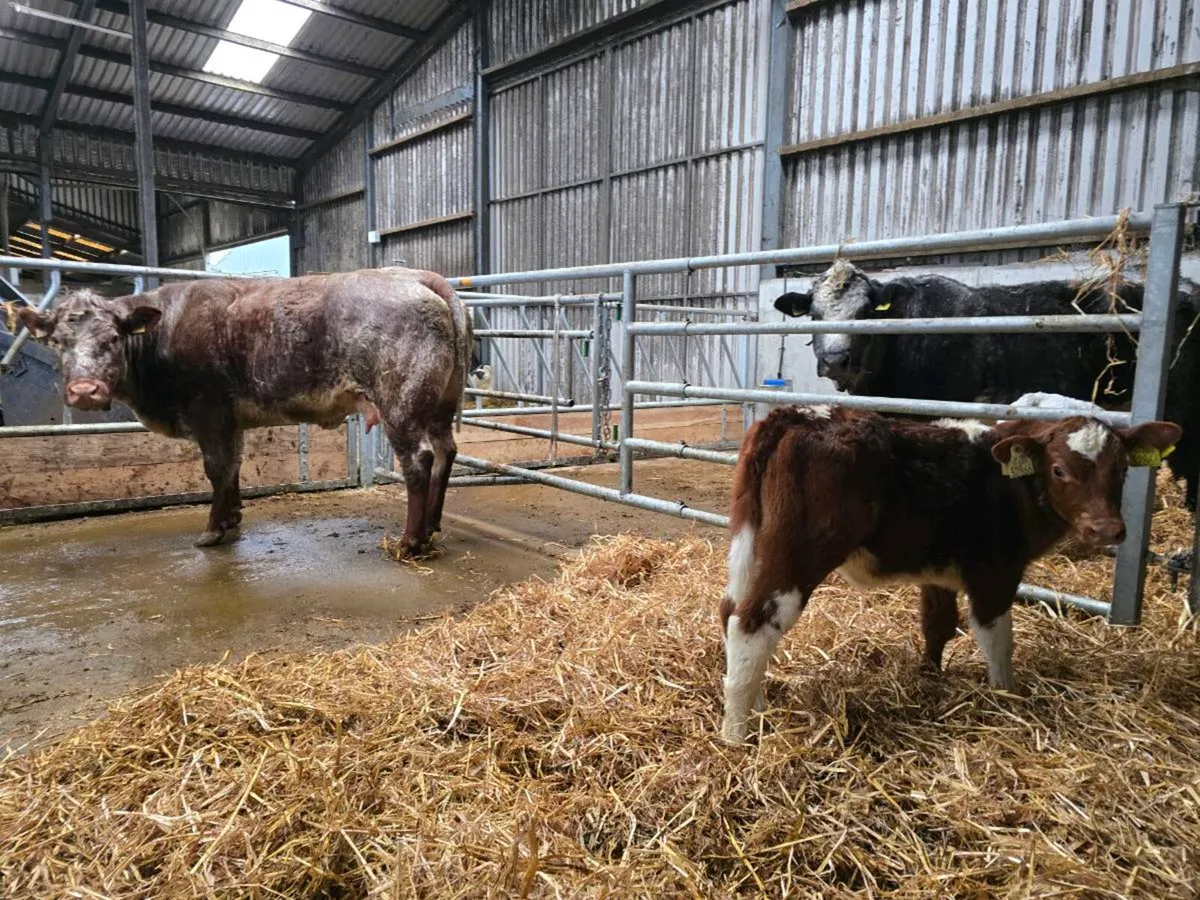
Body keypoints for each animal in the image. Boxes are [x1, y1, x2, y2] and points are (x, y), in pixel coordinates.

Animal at [17, 266, 471, 556]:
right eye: (57, 341)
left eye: (113, 337)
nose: (84, 391)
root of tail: (418, 277)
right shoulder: (230, 421)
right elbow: (233, 466)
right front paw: (232, 517)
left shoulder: (208, 413)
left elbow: (216, 469)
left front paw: (213, 530)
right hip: (440, 405)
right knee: (445, 453)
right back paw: (431, 527)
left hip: (401, 406)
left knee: (418, 461)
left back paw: (411, 542)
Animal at [718, 405, 1181, 744]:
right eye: (1059, 470)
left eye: (1122, 469)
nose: (1107, 530)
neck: (1008, 482)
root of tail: (797, 414)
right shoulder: (996, 572)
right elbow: (998, 641)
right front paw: (1006, 697)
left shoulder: (938, 572)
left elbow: (937, 624)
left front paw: (929, 679)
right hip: (799, 554)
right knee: (752, 623)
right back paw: (736, 736)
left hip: (753, 546)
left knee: (730, 610)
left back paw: (758, 706)